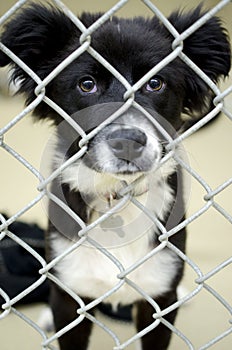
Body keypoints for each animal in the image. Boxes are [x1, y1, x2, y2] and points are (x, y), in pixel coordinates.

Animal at [0, 3, 230, 350]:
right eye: (86, 84)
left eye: (155, 83)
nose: (128, 142)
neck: (118, 198)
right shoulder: (69, 300)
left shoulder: (159, 304)